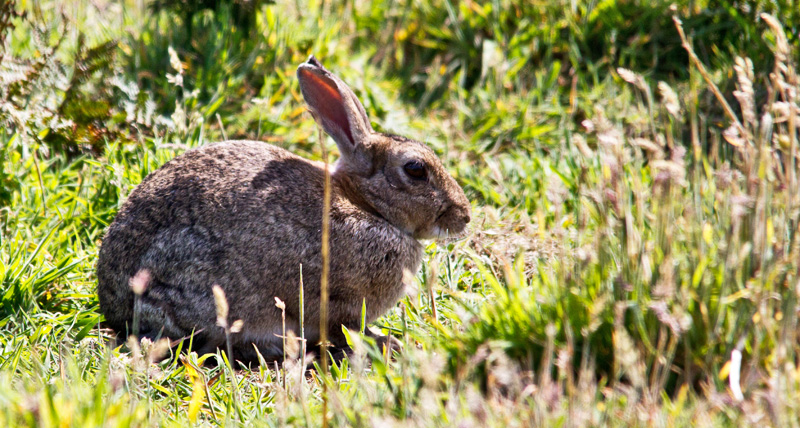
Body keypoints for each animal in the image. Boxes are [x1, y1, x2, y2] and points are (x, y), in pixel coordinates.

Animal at [95, 56, 468, 364]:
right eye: (415, 169)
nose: (464, 216)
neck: (366, 206)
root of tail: (114, 303)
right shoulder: (335, 304)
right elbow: (345, 330)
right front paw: (386, 343)